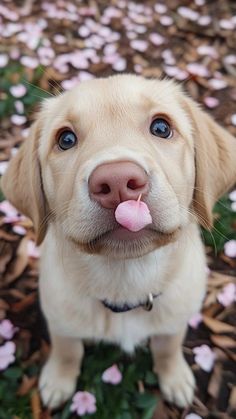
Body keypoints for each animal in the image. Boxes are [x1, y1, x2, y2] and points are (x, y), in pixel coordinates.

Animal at [1, 74, 236, 408]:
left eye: (161, 127)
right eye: (65, 139)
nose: (116, 182)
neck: (126, 277)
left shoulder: (176, 318)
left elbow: (167, 347)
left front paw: (175, 377)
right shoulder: (60, 320)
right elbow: (67, 350)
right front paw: (59, 380)